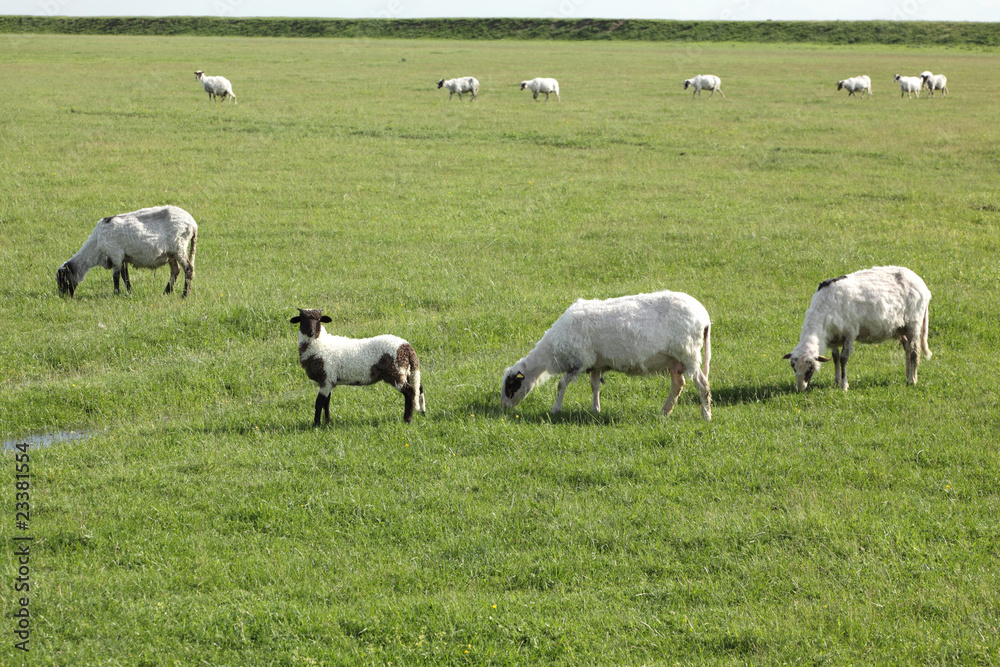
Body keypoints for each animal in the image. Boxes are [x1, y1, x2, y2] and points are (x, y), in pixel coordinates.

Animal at [56, 205, 198, 298]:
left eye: (63, 279)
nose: (64, 297)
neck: (95, 246)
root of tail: (193, 223)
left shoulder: (116, 254)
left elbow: (116, 276)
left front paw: (116, 294)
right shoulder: (123, 257)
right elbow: (126, 276)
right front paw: (129, 292)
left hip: (179, 245)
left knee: (188, 269)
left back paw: (185, 295)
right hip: (171, 253)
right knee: (175, 270)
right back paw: (167, 292)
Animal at [290, 309, 426, 425]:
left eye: (318, 319)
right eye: (302, 319)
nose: (310, 332)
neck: (320, 345)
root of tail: (406, 347)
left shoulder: (326, 377)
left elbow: (319, 403)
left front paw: (316, 424)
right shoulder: (329, 380)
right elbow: (326, 403)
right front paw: (327, 422)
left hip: (396, 372)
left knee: (410, 391)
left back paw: (407, 419)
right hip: (407, 371)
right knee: (418, 388)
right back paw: (422, 413)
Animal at [500, 291, 712, 421]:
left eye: (511, 385)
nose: (504, 408)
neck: (550, 352)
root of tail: (704, 317)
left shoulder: (579, 361)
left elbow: (561, 384)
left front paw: (555, 410)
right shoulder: (595, 364)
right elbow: (595, 386)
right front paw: (596, 410)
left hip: (689, 353)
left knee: (702, 385)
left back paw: (706, 415)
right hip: (676, 360)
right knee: (678, 384)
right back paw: (665, 412)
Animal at [783, 266, 932, 392]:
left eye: (810, 369)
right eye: (793, 367)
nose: (800, 389)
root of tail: (922, 284)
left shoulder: (850, 332)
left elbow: (843, 359)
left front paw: (844, 386)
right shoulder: (833, 337)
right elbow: (835, 358)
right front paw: (836, 381)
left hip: (914, 322)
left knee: (914, 352)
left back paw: (912, 380)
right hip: (901, 327)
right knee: (907, 348)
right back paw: (907, 375)